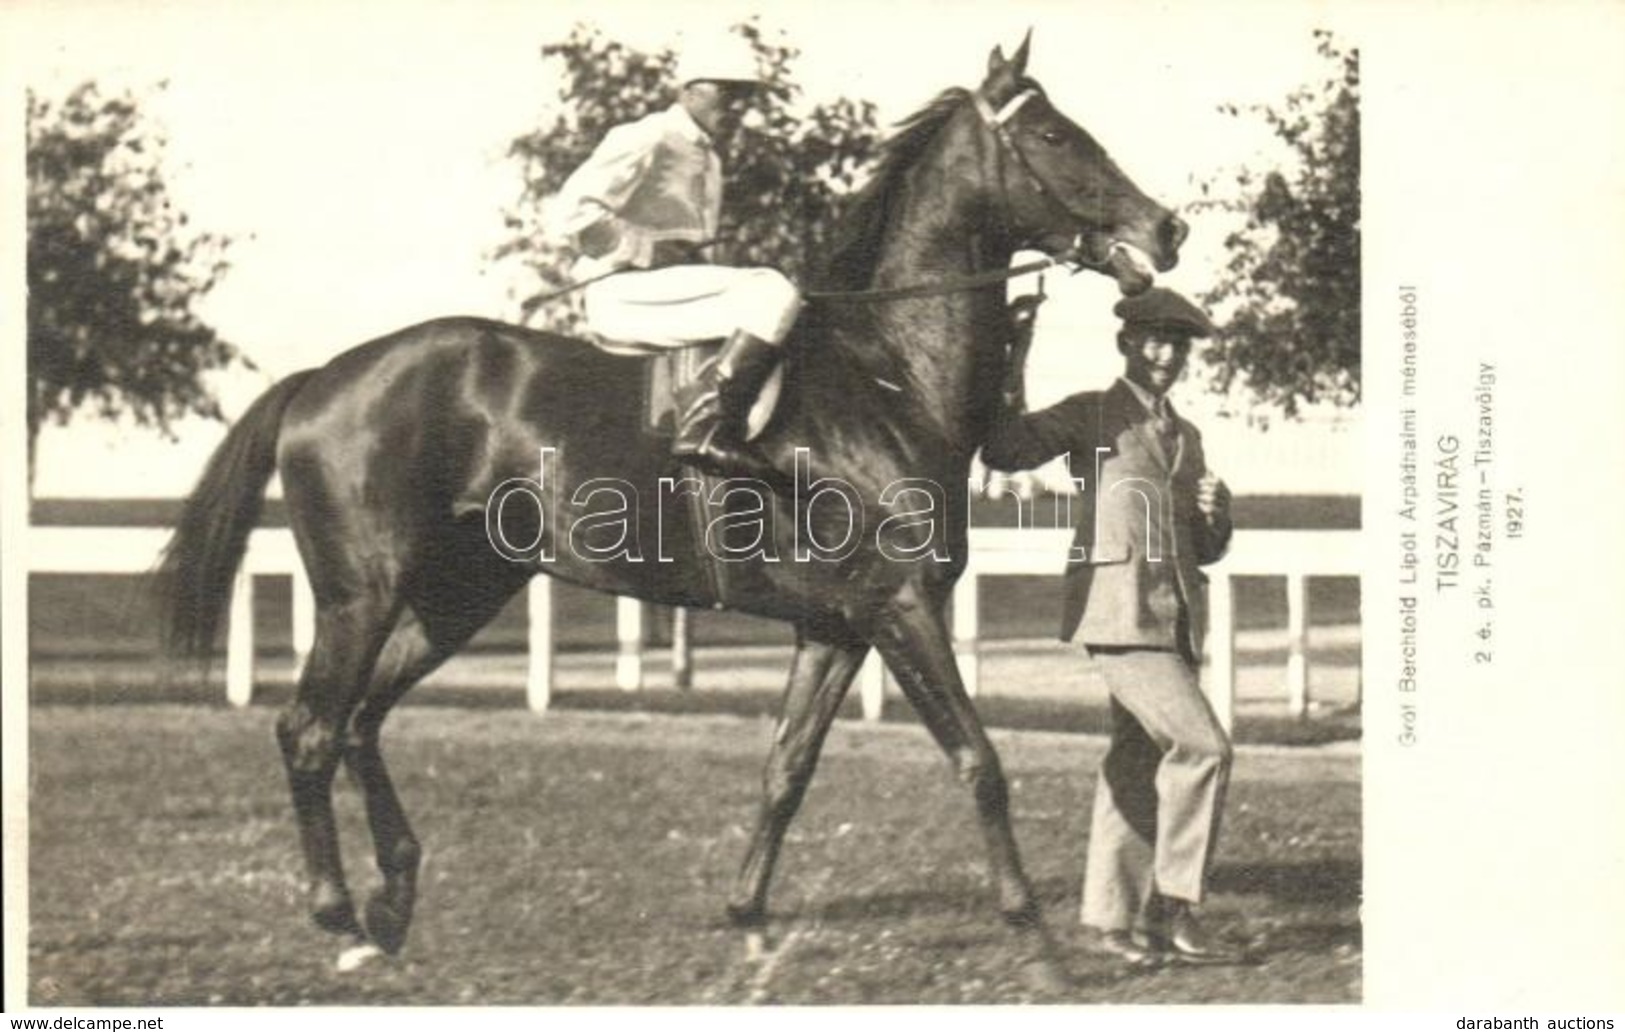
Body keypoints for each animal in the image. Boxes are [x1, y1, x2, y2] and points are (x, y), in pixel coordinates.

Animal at [158, 36, 1189, 975]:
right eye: (1055, 136)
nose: (1167, 229)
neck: (885, 375)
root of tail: (324, 377)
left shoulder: (837, 627)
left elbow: (786, 769)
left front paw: (749, 919)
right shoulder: (903, 609)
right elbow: (978, 761)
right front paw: (1035, 938)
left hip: (459, 596)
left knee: (364, 721)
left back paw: (393, 899)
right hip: (360, 597)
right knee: (310, 730)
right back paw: (340, 918)